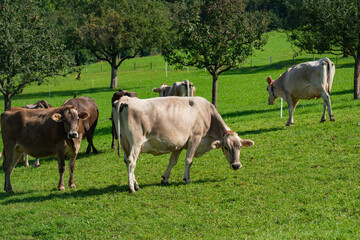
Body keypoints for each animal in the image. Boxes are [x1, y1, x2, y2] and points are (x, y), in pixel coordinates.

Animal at [112, 96, 253, 192]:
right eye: (226, 147)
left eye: (240, 147)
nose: (236, 165)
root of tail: (127, 100)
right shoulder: (195, 138)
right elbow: (189, 160)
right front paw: (187, 178)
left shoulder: (178, 144)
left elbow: (172, 161)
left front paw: (165, 178)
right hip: (135, 143)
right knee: (132, 162)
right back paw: (132, 187)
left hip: (125, 143)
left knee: (127, 161)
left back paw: (135, 184)